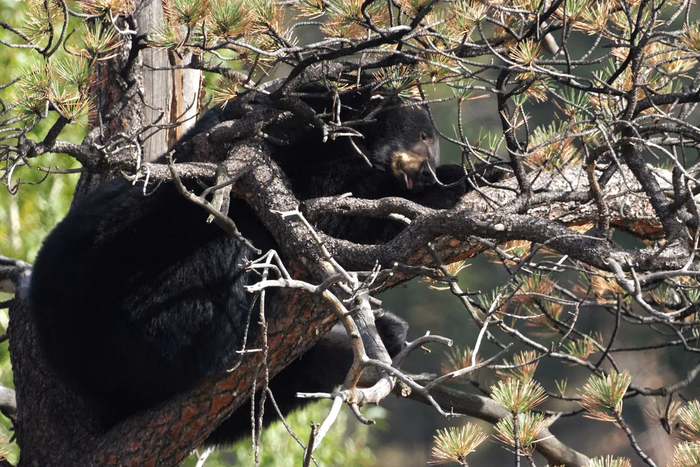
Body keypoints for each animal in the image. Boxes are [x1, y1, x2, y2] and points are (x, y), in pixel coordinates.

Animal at [27, 83, 476, 446]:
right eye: (425, 135)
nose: (427, 173)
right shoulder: (290, 151)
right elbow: (333, 214)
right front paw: (462, 179)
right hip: (133, 297)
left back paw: (380, 334)